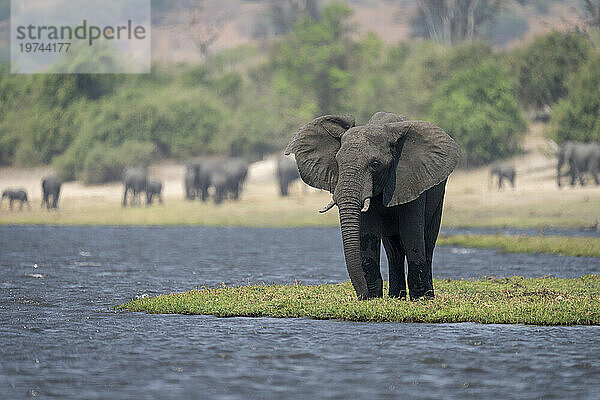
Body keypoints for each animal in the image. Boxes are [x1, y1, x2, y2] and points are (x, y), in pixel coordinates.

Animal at [286, 112, 460, 300]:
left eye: (375, 165)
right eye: (337, 162)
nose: (362, 295)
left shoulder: (413, 179)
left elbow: (411, 233)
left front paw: (420, 299)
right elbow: (369, 232)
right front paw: (373, 298)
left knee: (427, 243)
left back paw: (426, 296)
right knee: (394, 251)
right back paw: (396, 297)